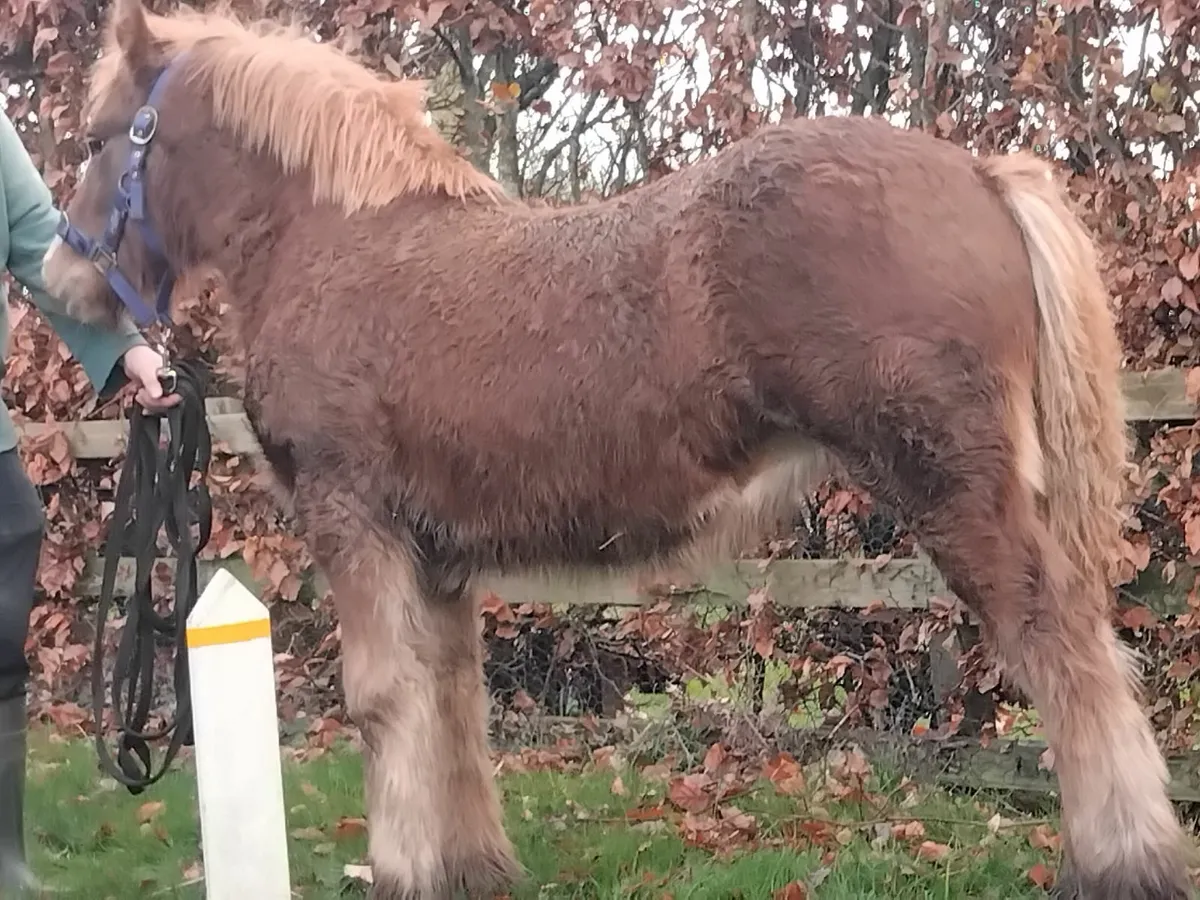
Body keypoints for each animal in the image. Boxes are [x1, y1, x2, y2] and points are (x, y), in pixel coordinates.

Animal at [41, 0, 1192, 896]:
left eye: (99, 139)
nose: (62, 279)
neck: (334, 239)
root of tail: (984, 174)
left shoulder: (351, 518)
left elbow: (380, 700)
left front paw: (402, 869)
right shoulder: (438, 554)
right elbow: (450, 699)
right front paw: (470, 869)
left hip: (955, 488)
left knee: (1063, 645)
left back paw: (1124, 867)